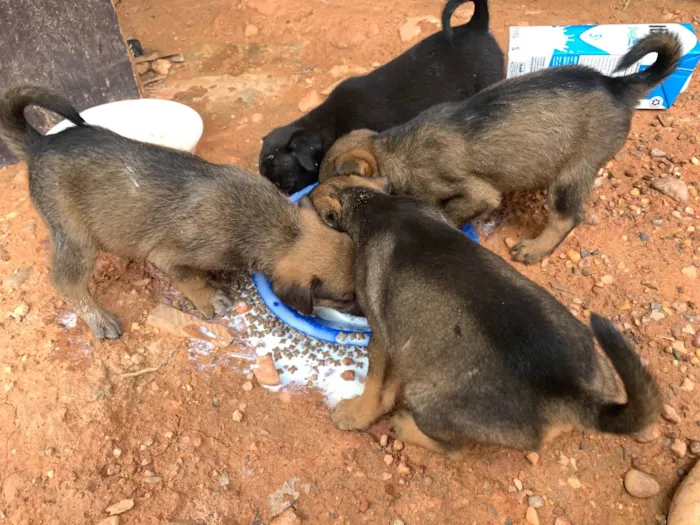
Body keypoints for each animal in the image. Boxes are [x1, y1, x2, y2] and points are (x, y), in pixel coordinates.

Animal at [0, 85, 358, 340]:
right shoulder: (169, 256)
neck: (272, 225)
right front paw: (210, 299)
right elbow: (192, 279)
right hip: (75, 238)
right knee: (66, 282)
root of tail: (40, 145)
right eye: (344, 298)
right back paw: (99, 320)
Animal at [322, 30, 684, 264]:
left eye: (333, 186)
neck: (392, 151)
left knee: (567, 218)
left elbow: (450, 210)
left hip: (570, 175)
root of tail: (617, 85)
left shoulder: (478, 192)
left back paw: (535, 249)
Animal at [322, 185, 660, 454]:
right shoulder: (400, 339)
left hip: (425, 398)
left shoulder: (381, 333)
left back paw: (406, 426)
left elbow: (374, 383)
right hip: (599, 360)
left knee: (455, 449)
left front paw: (357, 414)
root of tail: (572, 393)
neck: (379, 205)